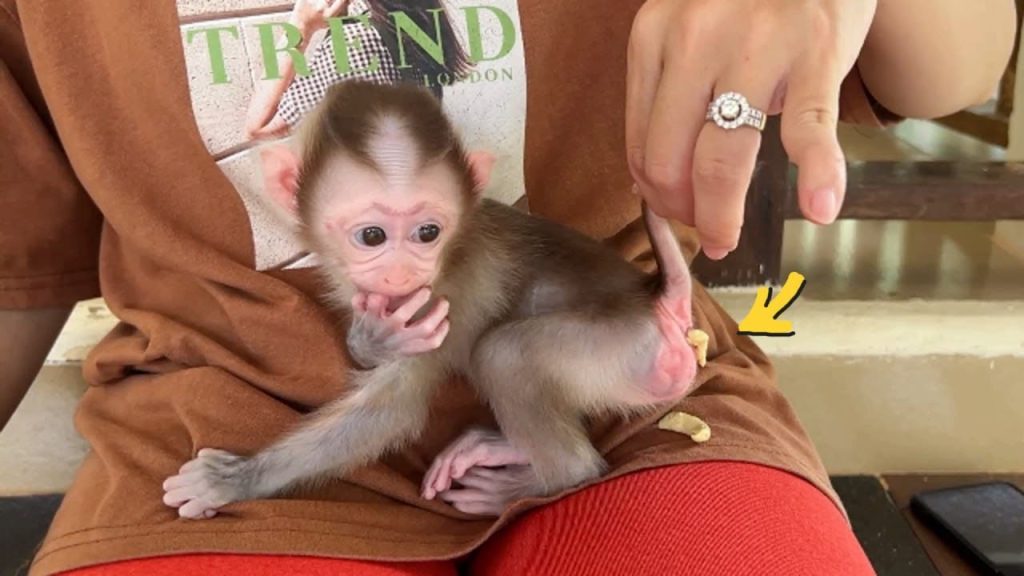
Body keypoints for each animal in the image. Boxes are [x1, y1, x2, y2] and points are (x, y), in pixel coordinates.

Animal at [162, 80, 701, 520]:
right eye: (373, 236)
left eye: (428, 233)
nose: (403, 271)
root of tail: (657, 302)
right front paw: (370, 340)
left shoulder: (443, 297)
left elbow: (393, 409)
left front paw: (233, 481)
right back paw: (495, 448)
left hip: (624, 348)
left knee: (507, 354)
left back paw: (542, 479)